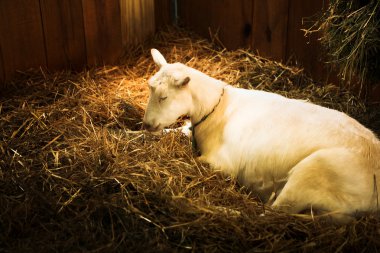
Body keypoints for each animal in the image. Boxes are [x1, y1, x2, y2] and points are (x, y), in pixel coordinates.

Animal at [143, 48, 380, 220]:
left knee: (270, 214)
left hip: (312, 174)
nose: (147, 124)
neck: (217, 109)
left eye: (164, 97)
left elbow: (197, 160)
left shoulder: (222, 163)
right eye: (150, 89)